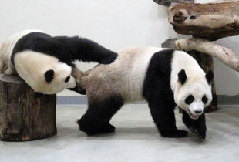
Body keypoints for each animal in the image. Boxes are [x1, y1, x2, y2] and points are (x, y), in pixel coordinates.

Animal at [72, 47, 214, 139]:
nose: (197, 111)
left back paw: (105, 127)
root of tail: (89, 75)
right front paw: (174, 133)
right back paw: (89, 129)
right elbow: (161, 105)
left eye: (204, 99)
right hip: (107, 85)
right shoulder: (161, 76)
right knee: (102, 108)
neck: (177, 64)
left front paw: (199, 130)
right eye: (190, 98)